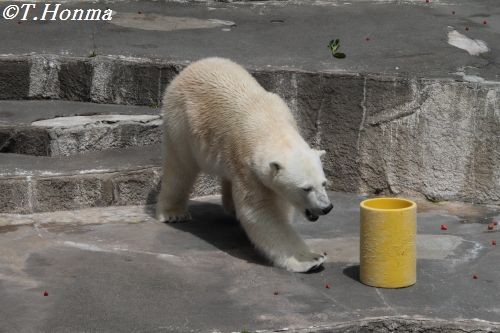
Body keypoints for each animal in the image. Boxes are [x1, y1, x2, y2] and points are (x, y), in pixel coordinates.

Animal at [156, 57, 334, 270]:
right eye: (306, 188)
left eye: (323, 183)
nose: (326, 207)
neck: (271, 124)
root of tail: (192, 67)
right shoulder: (248, 164)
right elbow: (260, 210)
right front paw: (311, 259)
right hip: (181, 120)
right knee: (180, 167)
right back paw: (173, 213)